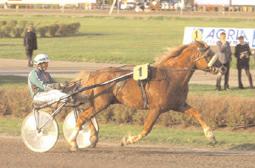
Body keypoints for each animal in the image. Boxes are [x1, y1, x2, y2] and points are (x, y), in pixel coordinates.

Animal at [67, 41, 221, 151]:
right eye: (209, 54)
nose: (222, 67)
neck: (170, 76)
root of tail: (95, 74)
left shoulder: (179, 104)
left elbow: (197, 113)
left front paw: (211, 136)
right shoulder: (156, 109)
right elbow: (147, 129)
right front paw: (127, 140)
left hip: (99, 103)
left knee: (86, 115)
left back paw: (92, 138)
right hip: (101, 103)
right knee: (83, 117)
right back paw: (73, 143)